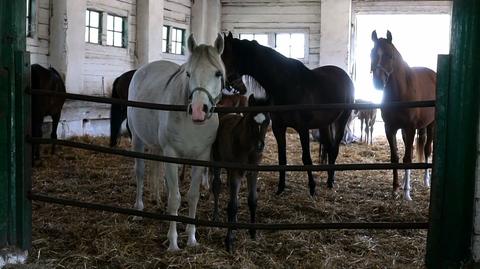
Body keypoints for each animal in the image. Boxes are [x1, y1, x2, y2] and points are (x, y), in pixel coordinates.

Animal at [126, 33, 226, 249]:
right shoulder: (171, 154)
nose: (198, 110)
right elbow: (175, 199)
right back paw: (138, 209)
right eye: (188, 73)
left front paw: (191, 237)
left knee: (156, 170)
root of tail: (143, 70)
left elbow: (193, 196)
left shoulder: (201, 157)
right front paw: (173, 241)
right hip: (138, 139)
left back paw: (156, 198)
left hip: (157, 147)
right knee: (140, 173)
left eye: (217, 73)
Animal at [212, 94, 272, 251]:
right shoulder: (236, 172)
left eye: (267, 121)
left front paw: (252, 232)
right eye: (251, 120)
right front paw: (229, 241)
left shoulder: (253, 172)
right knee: (216, 186)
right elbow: (232, 206)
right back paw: (215, 216)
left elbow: (252, 200)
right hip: (217, 160)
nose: (260, 146)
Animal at [222, 32, 356, 194]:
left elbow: (306, 158)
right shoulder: (278, 128)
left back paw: (330, 181)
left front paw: (312, 188)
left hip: (341, 120)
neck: (286, 84)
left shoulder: (303, 128)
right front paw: (280, 188)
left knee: (335, 149)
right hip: (324, 125)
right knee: (330, 148)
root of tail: (344, 75)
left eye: (226, 56)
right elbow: (282, 159)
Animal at [372, 30, 436, 199]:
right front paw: (395, 188)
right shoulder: (390, 128)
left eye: (390, 56)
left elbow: (407, 158)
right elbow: (395, 157)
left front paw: (407, 193)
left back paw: (426, 181)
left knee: (427, 150)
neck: (401, 91)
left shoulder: (410, 127)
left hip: (431, 125)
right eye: (372, 53)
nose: (378, 83)